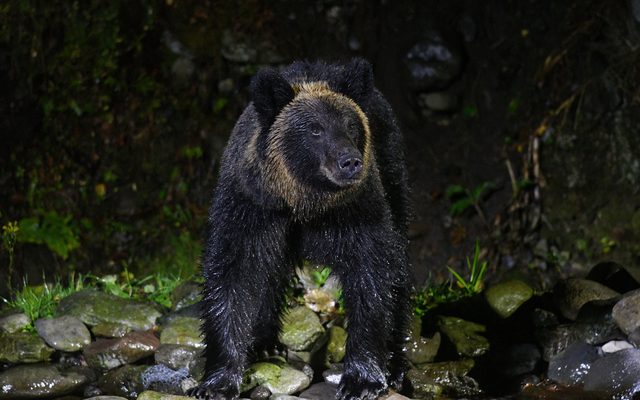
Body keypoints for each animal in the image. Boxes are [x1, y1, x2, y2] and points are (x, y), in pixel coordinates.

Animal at [188, 59, 412, 400]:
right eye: (315, 129)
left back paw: (396, 363)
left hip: (392, 173)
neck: (305, 202)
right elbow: (232, 276)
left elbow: (372, 274)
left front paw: (362, 379)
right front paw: (217, 380)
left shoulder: (359, 210)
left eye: (350, 125)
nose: (350, 162)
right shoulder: (252, 208)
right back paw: (264, 344)